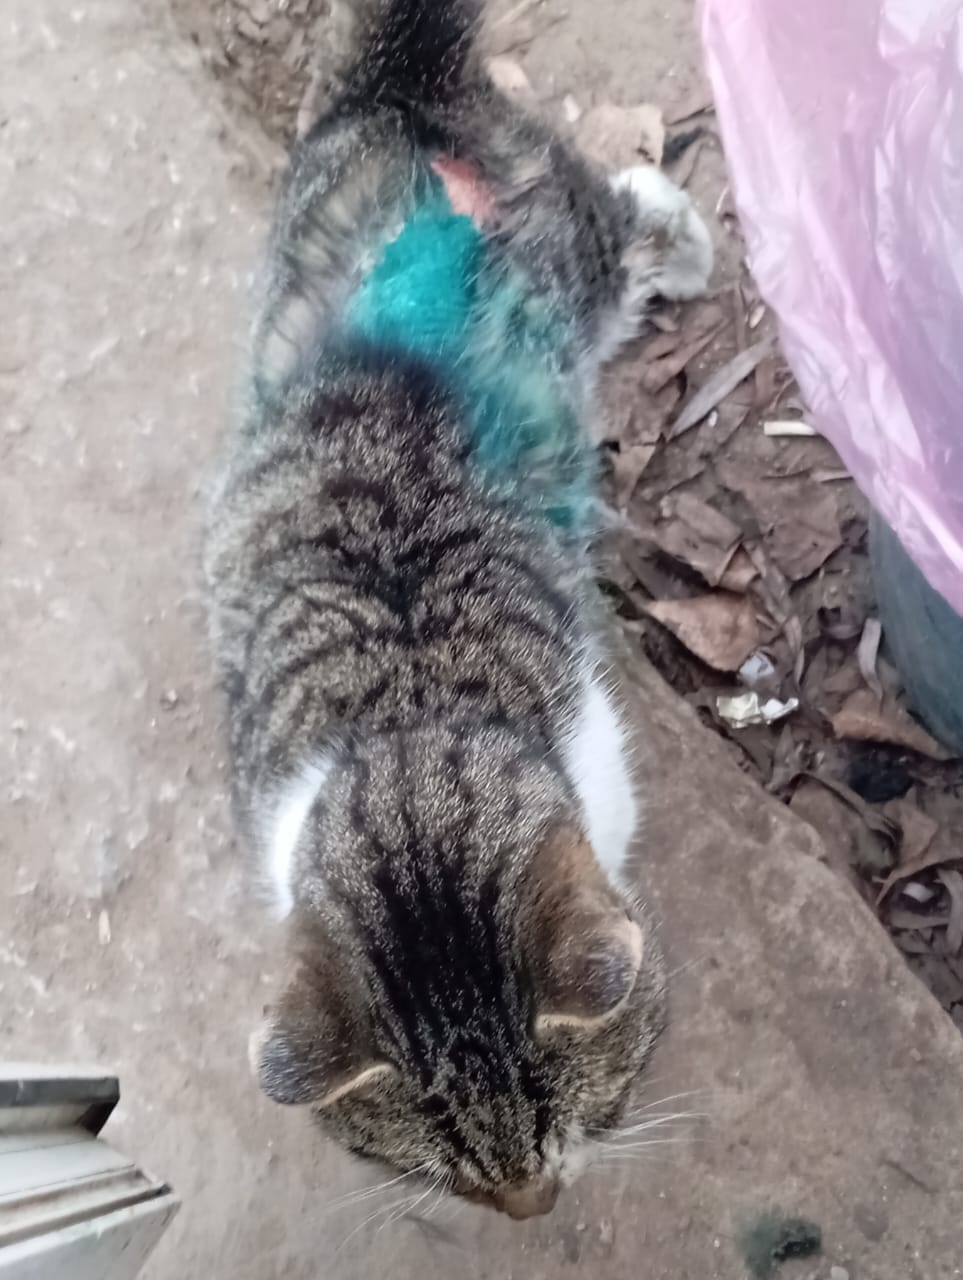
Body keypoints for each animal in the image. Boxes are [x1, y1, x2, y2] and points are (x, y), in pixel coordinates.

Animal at [203, 0, 712, 1219]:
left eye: (579, 1117)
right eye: (444, 1171)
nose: (534, 1209)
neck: (407, 711)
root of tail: (401, 91)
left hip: (573, 253)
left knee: (627, 206)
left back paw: (688, 246)